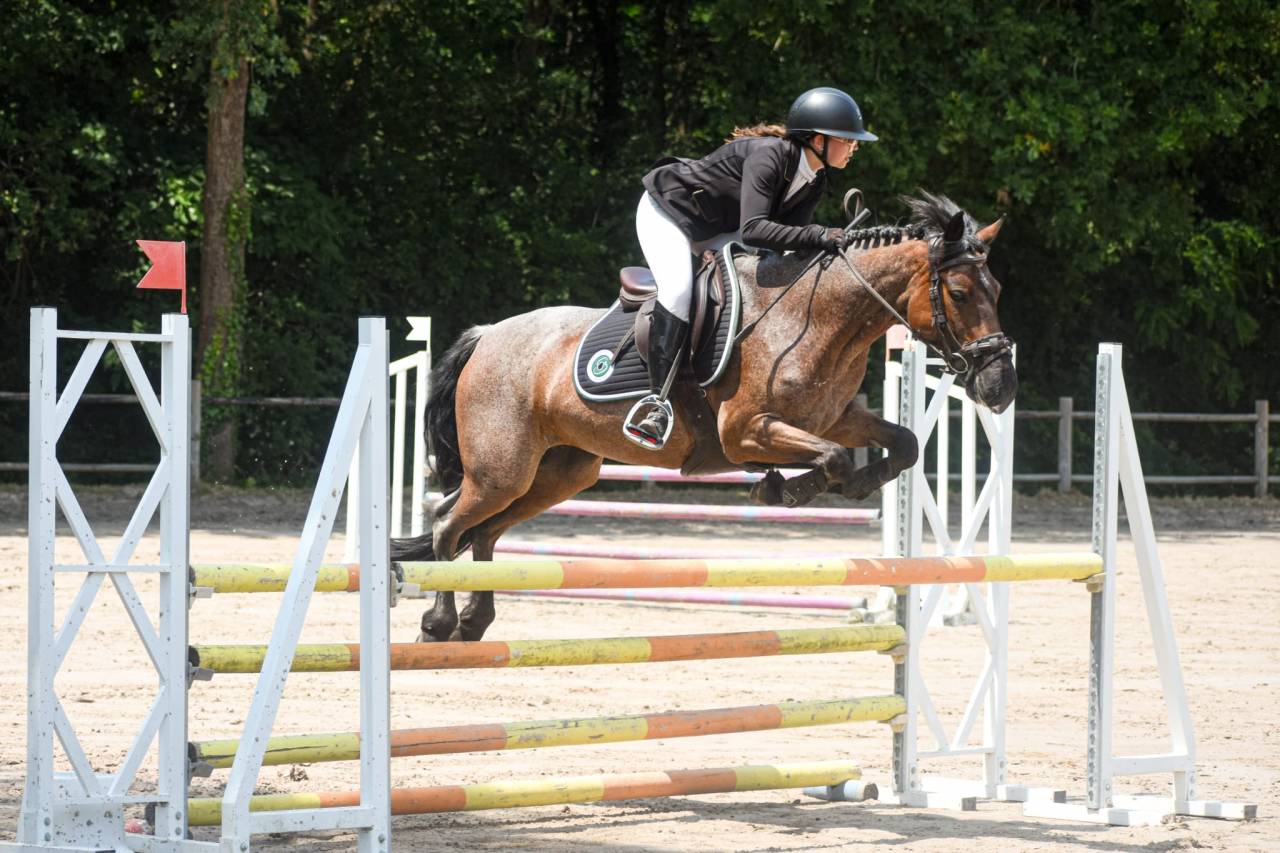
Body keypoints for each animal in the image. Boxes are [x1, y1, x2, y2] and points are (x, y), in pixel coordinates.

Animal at [390, 191, 1016, 642]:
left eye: (998, 288)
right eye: (961, 292)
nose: (1001, 387)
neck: (821, 315)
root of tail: (486, 335)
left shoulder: (833, 417)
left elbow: (903, 444)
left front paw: (852, 485)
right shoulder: (746, 433)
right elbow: (835, 458)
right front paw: (784, 490)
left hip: (557, 473)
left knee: (483, 532)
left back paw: (475, 623)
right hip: (503, 471)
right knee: (449, 526)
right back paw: (440, 624)